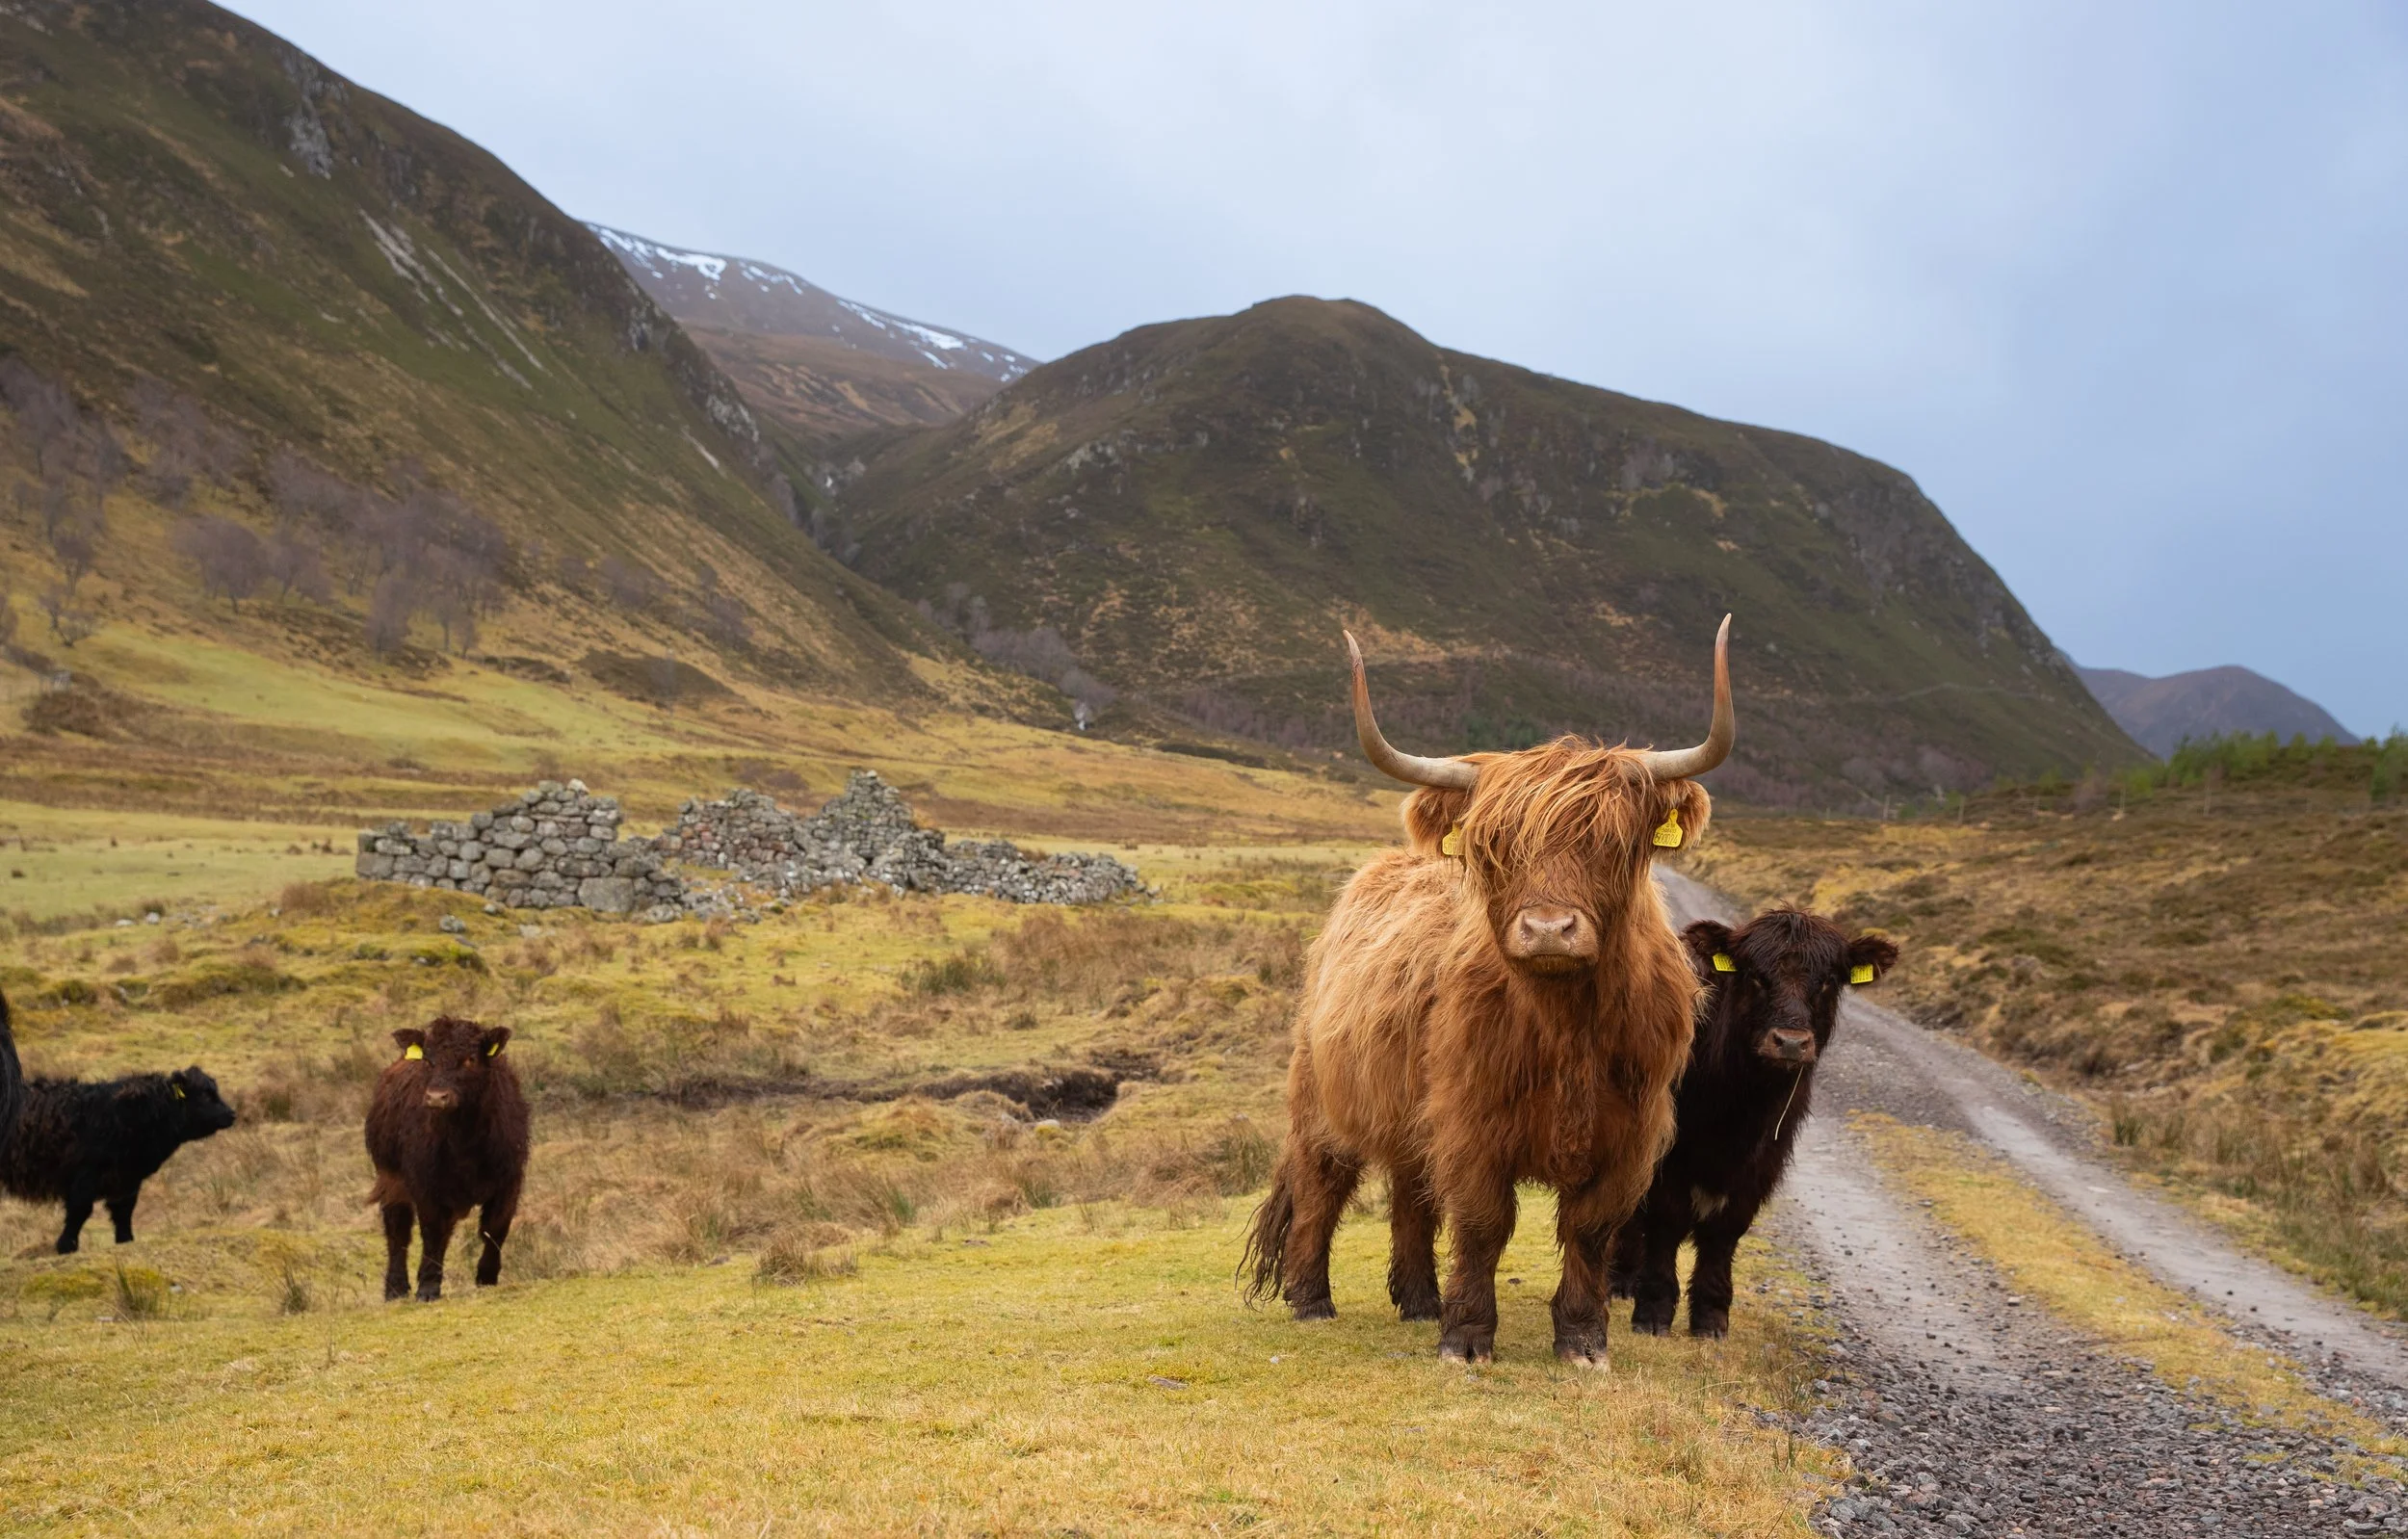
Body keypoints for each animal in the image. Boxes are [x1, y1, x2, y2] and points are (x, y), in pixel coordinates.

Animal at [0, 1064, 238, 1253]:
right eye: (205, 1095)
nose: (231, 1114)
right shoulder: (87, 1175)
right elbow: (80, 1210)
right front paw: (66, 1246)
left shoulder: (127, 1180)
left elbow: (124, 1212)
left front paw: (126, 1240)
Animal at [366, 1015, 529, 1302]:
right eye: (428, 1060)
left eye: (470, 1059)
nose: (437, 1097)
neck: (466, 1140)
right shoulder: (425, 1185)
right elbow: (431, 1232)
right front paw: (428, 1288)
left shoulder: (509, 1180)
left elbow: (495, 1228)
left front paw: (487, 1278)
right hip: (390, 1178)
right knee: (398, 1231)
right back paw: (395, 1288)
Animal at [1243, 617, 1734, 1366]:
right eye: (1492, 844)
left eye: (1612, 841)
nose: (1549, 929)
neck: (1566, 1026)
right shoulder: (1470, 1118)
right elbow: (1482, 1221)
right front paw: (1468, 1339)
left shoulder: (1630, 1131)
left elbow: (1590, 1228)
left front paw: (1583, 1341)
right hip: (1322, 1099)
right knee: (1320, 1189)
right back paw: (1311, 1300)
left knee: (1411, 1197)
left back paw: (1419, 1300)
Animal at [1609, 910, 1897, 1337]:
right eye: (1755, 975)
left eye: (1828, 980)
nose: (1791, 1042)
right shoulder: (1667, 1158)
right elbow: (1667, 1222)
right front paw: (1654, 1310)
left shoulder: (1763, 1163)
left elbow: (1725, 1232)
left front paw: (1711, 1317)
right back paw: (1620, 1280)